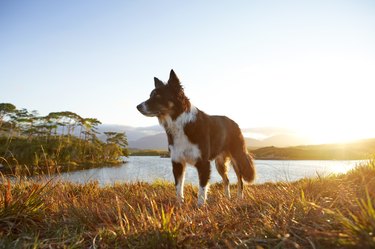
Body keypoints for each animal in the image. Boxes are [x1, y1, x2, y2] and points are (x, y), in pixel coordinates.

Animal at [137, 69, 258, 206]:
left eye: (158, 96)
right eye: (151, 95)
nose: (138, 106)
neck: (180, 123)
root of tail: (234, 122)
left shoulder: (203, 163)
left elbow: (202, 188)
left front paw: (200, 207)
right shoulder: (177, 162)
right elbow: (178, 188)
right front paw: (179, 205)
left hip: (237, 158)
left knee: (240, 179)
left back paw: (239, 198)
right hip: (219, 163)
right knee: (226, 180)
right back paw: (227, 198)